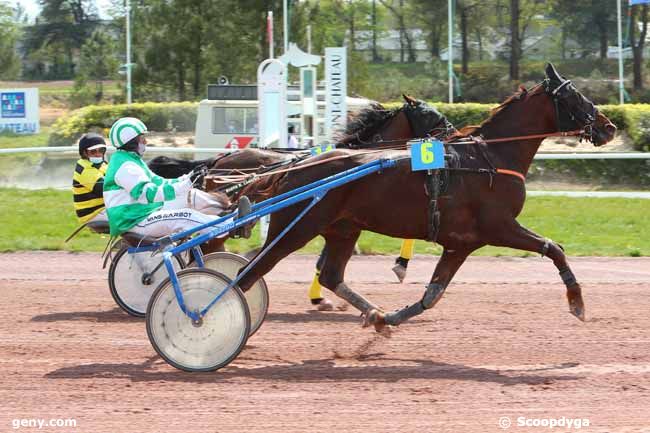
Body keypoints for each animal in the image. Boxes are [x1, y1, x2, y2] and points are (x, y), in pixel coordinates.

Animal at [235, 62, 616, 330]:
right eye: (574, 96)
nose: (608, 127)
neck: (491, 158)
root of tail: (296, 166)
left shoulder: (461, 243)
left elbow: (432, 294)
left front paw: (387, 318)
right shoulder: (499, 227)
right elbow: (554, 248)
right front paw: (577, 302)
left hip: (342, 229)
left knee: (329, 274)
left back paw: (372, 313)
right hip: (298, 228)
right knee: (252, 269)